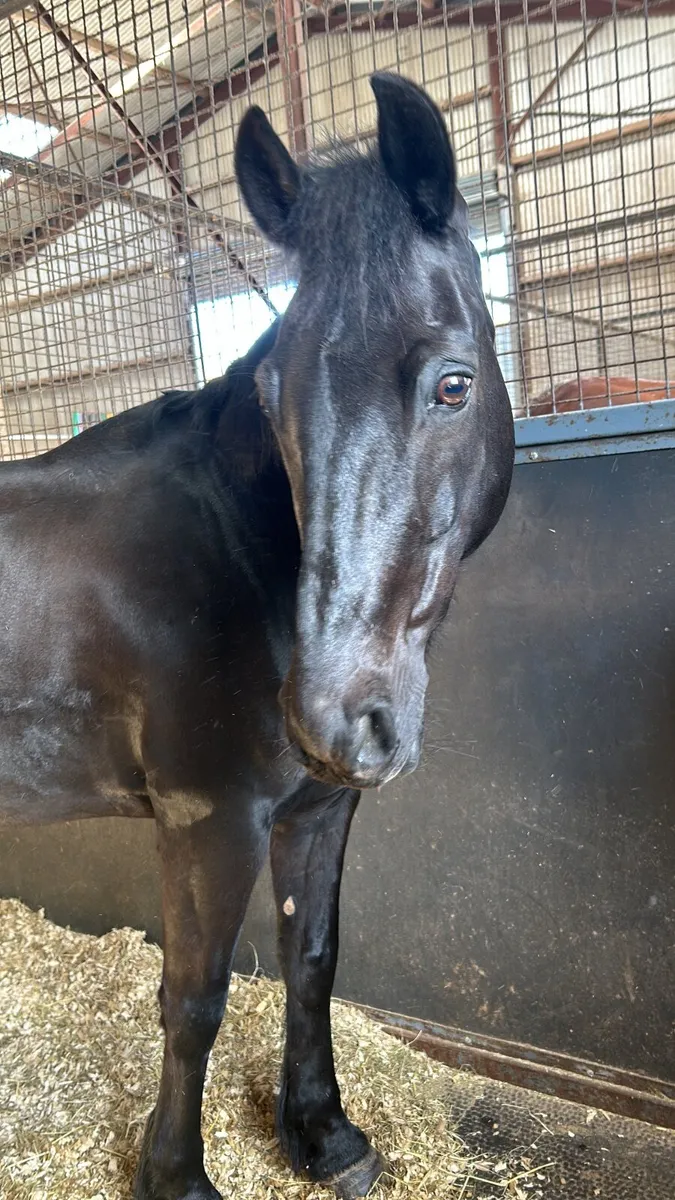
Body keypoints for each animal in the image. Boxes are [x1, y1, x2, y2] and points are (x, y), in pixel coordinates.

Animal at [0, 74, 514, 1199]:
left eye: (453, 383)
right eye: (275, 399)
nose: (335, 718)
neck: (237, 556)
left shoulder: (316, 812)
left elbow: (309, 962)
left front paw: (323, 1132)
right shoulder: (210, 821)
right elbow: (192, 999)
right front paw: (176, 1177)